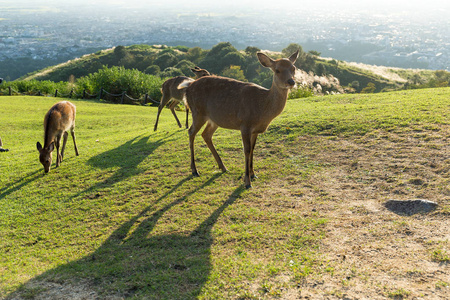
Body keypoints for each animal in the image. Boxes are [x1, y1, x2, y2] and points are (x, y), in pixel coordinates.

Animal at [179, 50, 298, 189]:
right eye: (277, 70)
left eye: (293, 68)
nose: (291, 81)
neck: (263, 109)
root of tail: (188, 87)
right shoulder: (245, 124)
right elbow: (246, 150)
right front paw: (247, 181)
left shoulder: (255, 130)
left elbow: (253, 149)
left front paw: (253, 174)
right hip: (197, 112)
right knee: (191, 132)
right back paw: (194, 170)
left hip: (214, 119)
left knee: (206, 134)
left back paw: (223, 167)